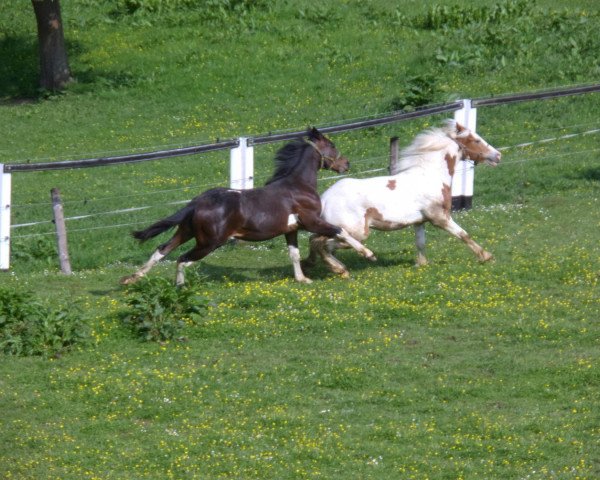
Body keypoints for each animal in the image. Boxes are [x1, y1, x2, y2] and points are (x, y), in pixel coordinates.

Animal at [120, 127, 376, 284]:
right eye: (332, 146)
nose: (346, 164)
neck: (297, 187)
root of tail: (197, 202)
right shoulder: (312, 222)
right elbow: (340, 231)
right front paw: (367, 254)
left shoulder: (291, 230)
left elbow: (293, 254)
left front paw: (303, 278)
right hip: (209, 242)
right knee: (182, 259)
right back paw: (179, 287)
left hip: (186, 232)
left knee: (162, 249)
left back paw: (131, 278)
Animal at [304, 120, 502, 278]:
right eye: (476, 140)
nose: (498, 155)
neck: (431, 176)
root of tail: (325, 199)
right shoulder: (439, 217)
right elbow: (463, 234)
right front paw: (486, 256)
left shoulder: (420, 221)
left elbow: (420, 243)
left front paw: (421, 264)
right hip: (358, 232)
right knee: (321, 243)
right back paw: (347, 265)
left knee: (317, 242)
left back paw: (321, 265)